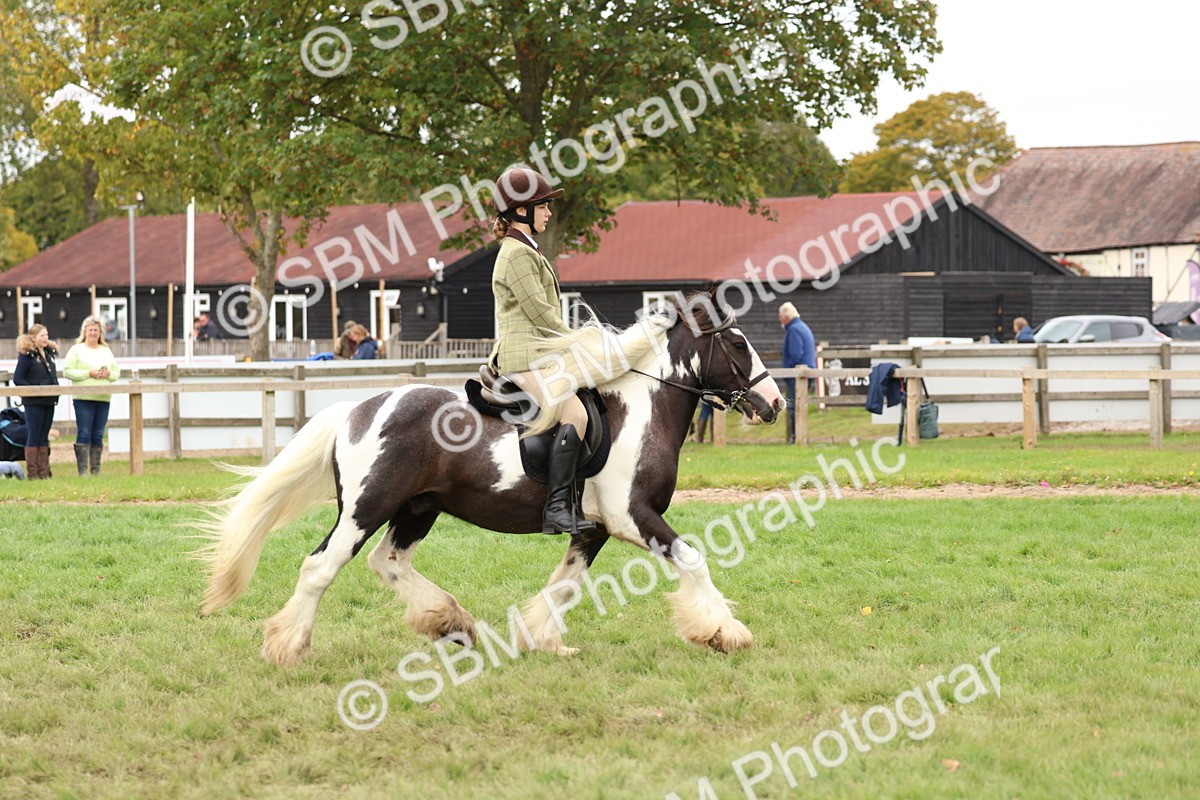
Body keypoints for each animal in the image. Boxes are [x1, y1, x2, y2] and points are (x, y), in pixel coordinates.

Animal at [200, 292, 785, 666]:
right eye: (737, 343)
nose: (775, 402)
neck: (641, 410)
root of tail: (356, 410)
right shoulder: (632, 517)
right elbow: (694, 560)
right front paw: (725, 633)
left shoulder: (593, 528)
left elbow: (565, 584)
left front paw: (542, 641)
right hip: (366, 508)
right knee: (321, 567)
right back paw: (288, 647)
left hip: (418, 509)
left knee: (388, 562)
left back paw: (451, 622)